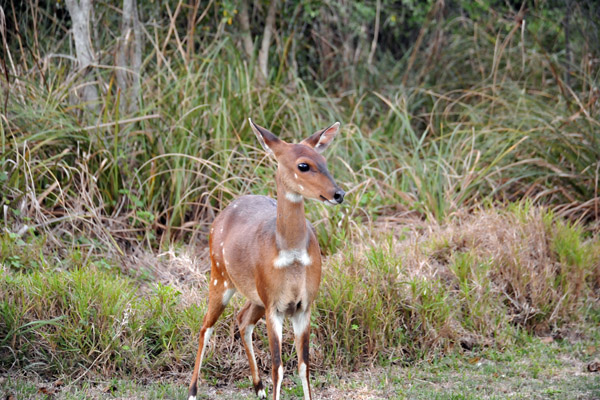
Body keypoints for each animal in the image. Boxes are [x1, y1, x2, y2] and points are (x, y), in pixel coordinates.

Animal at [188, 119, 346, 400]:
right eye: (303, 165)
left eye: (324, 160)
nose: (338, 194)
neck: (291, 255)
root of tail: (220, 216)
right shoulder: (275, 306)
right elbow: (278, 366)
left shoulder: (303, 305)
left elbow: (304, 365)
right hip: (220, 279)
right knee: (206, 327)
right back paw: (193, 391)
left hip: (255, 296)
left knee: (242, 320)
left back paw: (258, 388)